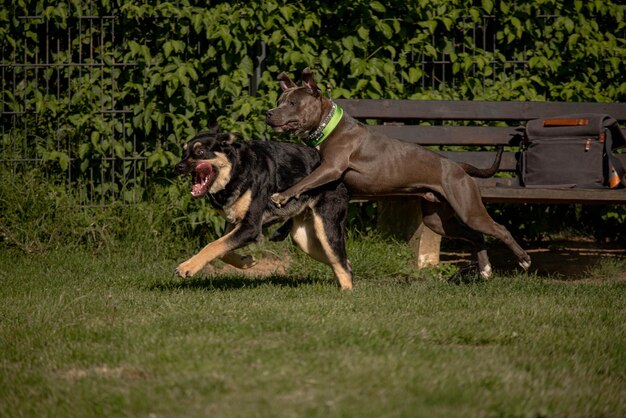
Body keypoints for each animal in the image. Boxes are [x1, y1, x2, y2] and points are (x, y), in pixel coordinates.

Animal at [173, 125, 354, 290]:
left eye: (200, 152)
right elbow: (223, 249)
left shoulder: (250, 227)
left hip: (326, 229)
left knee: (341, 263)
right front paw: (245, 261)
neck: (237, 169)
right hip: (303, 239)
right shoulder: (233, 223)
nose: (177, 167)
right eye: (183, 152)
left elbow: (213, 245)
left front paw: (187, 267)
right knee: (342, 261)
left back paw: (346, 291)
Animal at [266, 68, 528, 278]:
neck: (326, 125)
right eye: (279, 100)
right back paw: (485, 269)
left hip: (469, 208)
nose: (269, 112)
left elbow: (304, 182)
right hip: (437, 219)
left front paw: (282, 195)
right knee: (475, 236)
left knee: (499, 229)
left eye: (292, 104)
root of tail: (458, 167)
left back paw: (524, 260)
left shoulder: (331, 168)